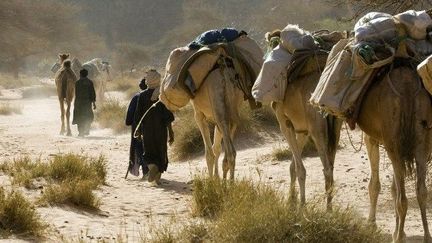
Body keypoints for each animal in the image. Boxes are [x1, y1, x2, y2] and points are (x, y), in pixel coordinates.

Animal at [272, 69, 342, 211]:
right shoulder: (302, 130)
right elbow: (292, 166)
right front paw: (291, 200)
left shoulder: (284, 123)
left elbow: (300, 169)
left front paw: (301, 205)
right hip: (336, 127)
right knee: (331, 166)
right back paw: (329, 205)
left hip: (317, 128)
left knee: (327, 168)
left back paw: (328, 209)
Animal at [354, 58, 432, 242]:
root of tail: (408, 88)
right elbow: (394, 186)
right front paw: (399, 231)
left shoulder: (372, 138)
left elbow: (375, 185)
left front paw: (372, 224)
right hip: (422, 139)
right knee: (421, 191)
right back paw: (427, 236)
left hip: (394, 143)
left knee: (402, 199)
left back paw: (398, 239)